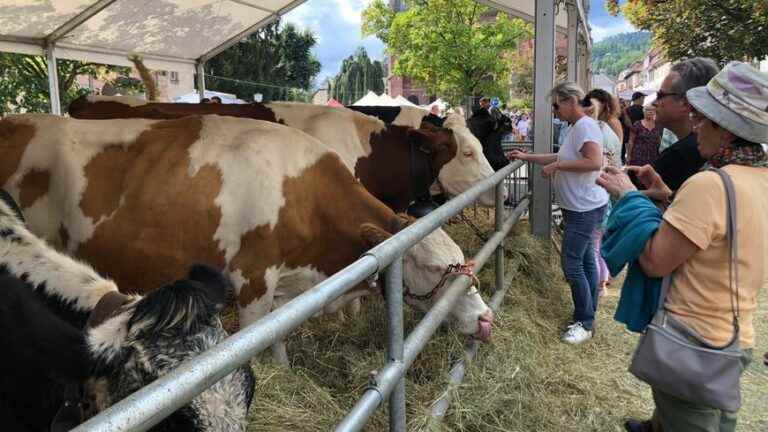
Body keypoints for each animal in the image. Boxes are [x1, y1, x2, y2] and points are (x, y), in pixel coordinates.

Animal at [0, 113, 496, 362]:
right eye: (432, 267)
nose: (487, 320)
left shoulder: (286, 290)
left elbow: (277, 340)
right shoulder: (253, 284)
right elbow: (255, 347)